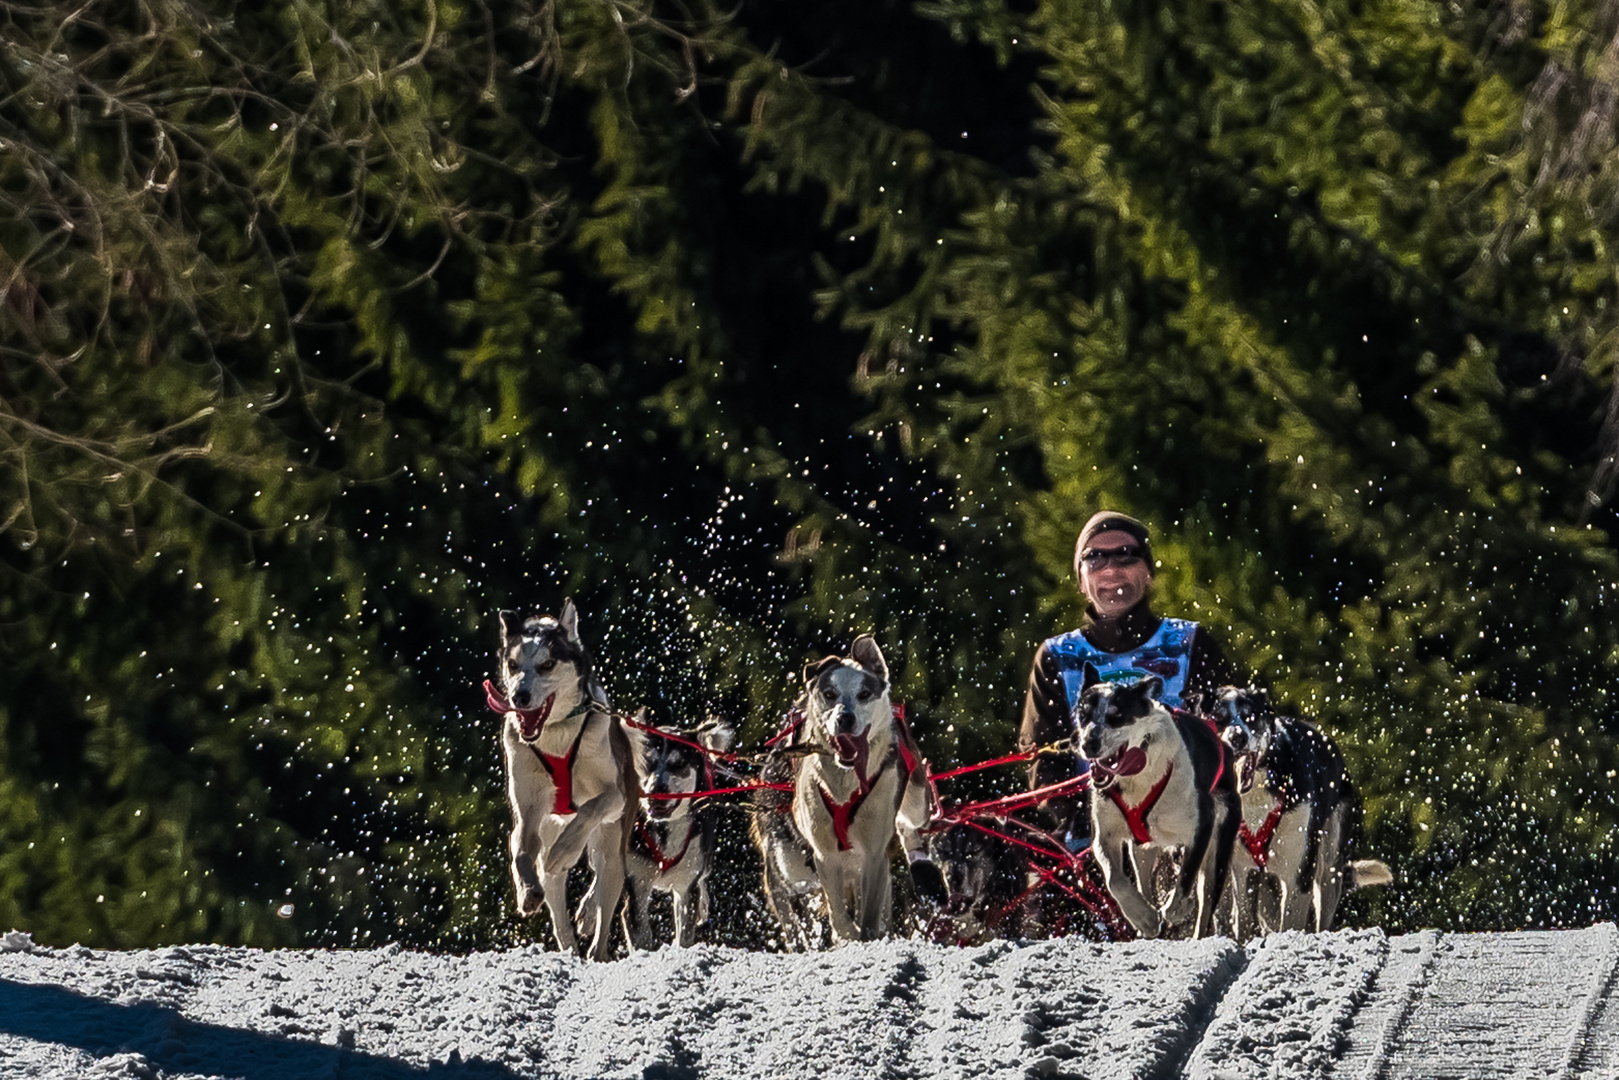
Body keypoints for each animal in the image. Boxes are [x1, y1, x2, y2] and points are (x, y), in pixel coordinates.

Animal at [482, 599, 634, 965]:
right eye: (512, 664)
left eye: (547, 664)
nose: (520, 697)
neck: (556, 736)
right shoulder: (528, 809)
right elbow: (521, 846)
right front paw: (527, 890)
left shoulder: (614, 795)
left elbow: (590, 808)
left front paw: (565, 850)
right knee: (558, 908)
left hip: (614, 850)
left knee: (603, 891)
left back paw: (594, 939)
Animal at [621, 712, 738, 952]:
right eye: (647, 762)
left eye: (679, 764)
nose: (657, 789)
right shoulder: (637, 884)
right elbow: (641, 933)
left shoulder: (686, 886)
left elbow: (684, 931)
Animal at [747, 637, 932, 952]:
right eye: (829, 694)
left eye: (864, 694)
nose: (845, 717)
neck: (845, 787)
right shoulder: (825, 856)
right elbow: (838, 916)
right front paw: (847, 935)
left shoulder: (873, 855)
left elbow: (870, 912)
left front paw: (867, 935)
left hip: (917, 800)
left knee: (909, 826)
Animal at [1075, 663, 1236, 939]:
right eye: (1083, 714)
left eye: (1116, 715)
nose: (1088, 744)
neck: (1137, 773)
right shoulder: (1105, 836)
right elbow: (1115, 880)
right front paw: (1143, 917)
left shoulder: (1201, 827)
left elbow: (1185, 878)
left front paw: (1175, 908)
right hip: (1142, 850)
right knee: (1142, 881)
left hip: (1218, 850)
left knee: (1205, 900)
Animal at [1204, 693, 1392, 939]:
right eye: (1218, 718)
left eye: (1250, 716)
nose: (1238, 737)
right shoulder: (1241, 869)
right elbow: (1243, 918)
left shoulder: (1299, 869)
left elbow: (1291, 919)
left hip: (1329, 867)